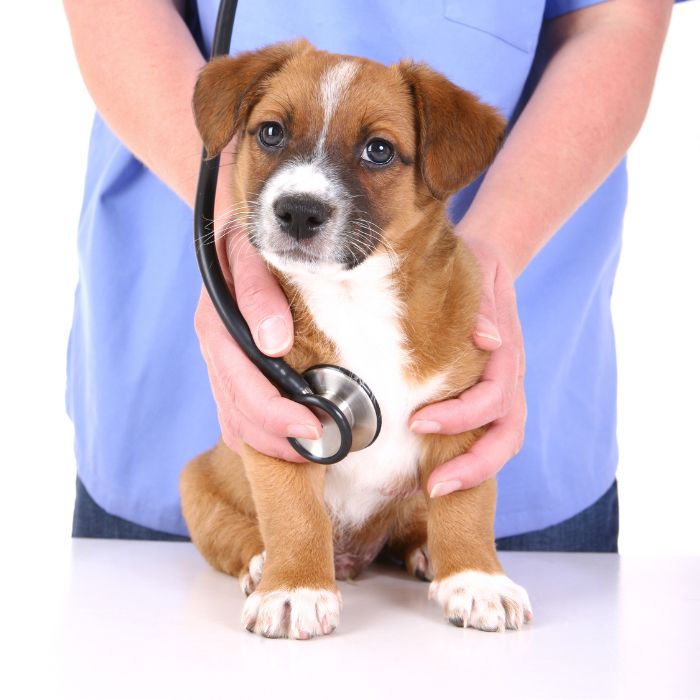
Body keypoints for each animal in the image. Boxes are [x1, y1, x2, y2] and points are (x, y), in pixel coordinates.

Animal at [180, 38, 532, 640]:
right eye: (270, 132)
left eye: (379, 150)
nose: (299, 211)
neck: (354, 298)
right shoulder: (282, 421)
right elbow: (293, 513)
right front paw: (295, 588)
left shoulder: (463, 421)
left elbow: (465, 504)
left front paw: (477, 578)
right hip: (198, 487)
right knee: (240, 535)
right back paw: (262, 567)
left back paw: (428, 554)